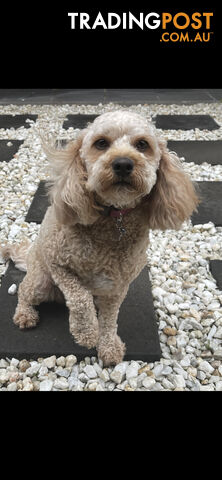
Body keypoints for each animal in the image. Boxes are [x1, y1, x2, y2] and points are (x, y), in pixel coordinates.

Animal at [0, 110, 199, 366]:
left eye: (142, 144)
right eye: (101, 143)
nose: (123, 163)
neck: (113, 218)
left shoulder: (118, 284)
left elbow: (110, 317)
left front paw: (109, 345)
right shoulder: (58, 264)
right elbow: (80, 298)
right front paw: (86, 333)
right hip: (41, 280)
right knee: (24, 291)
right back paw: (25, 314)